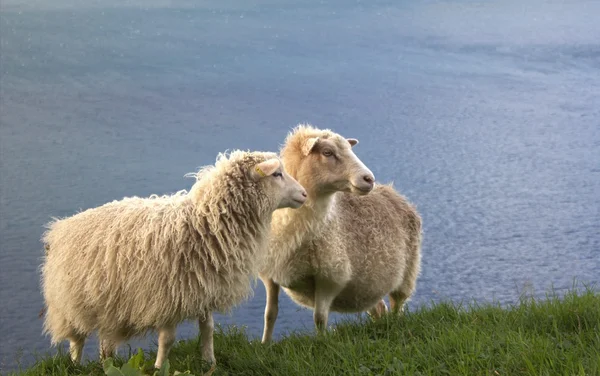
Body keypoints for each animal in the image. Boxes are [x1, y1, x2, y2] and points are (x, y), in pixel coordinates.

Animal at [39, 149, 308, 368]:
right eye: (277, 174)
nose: (305, 194)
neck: (205, 222)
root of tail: (60, 228)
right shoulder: (166, 295)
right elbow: (167, 340)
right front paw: (159, 368)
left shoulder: (203, 288)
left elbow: (208, 330)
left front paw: (209, 362)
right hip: (71, 303)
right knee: (76, 340)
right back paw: (75, 365)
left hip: (109, 306)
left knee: (105, 342)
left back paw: (108, 364)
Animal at [258, 125, 422, 342]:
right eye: (327, 152)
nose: (369, 179)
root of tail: (394, 192)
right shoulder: (270, 273)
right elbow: (270, 314)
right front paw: (265, 344)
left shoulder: (330, 277)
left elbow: (319, 318)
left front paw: (321, 343)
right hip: (365, 291)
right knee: (379, 308)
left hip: (407, 275)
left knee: (397, 306)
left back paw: (395, 327)